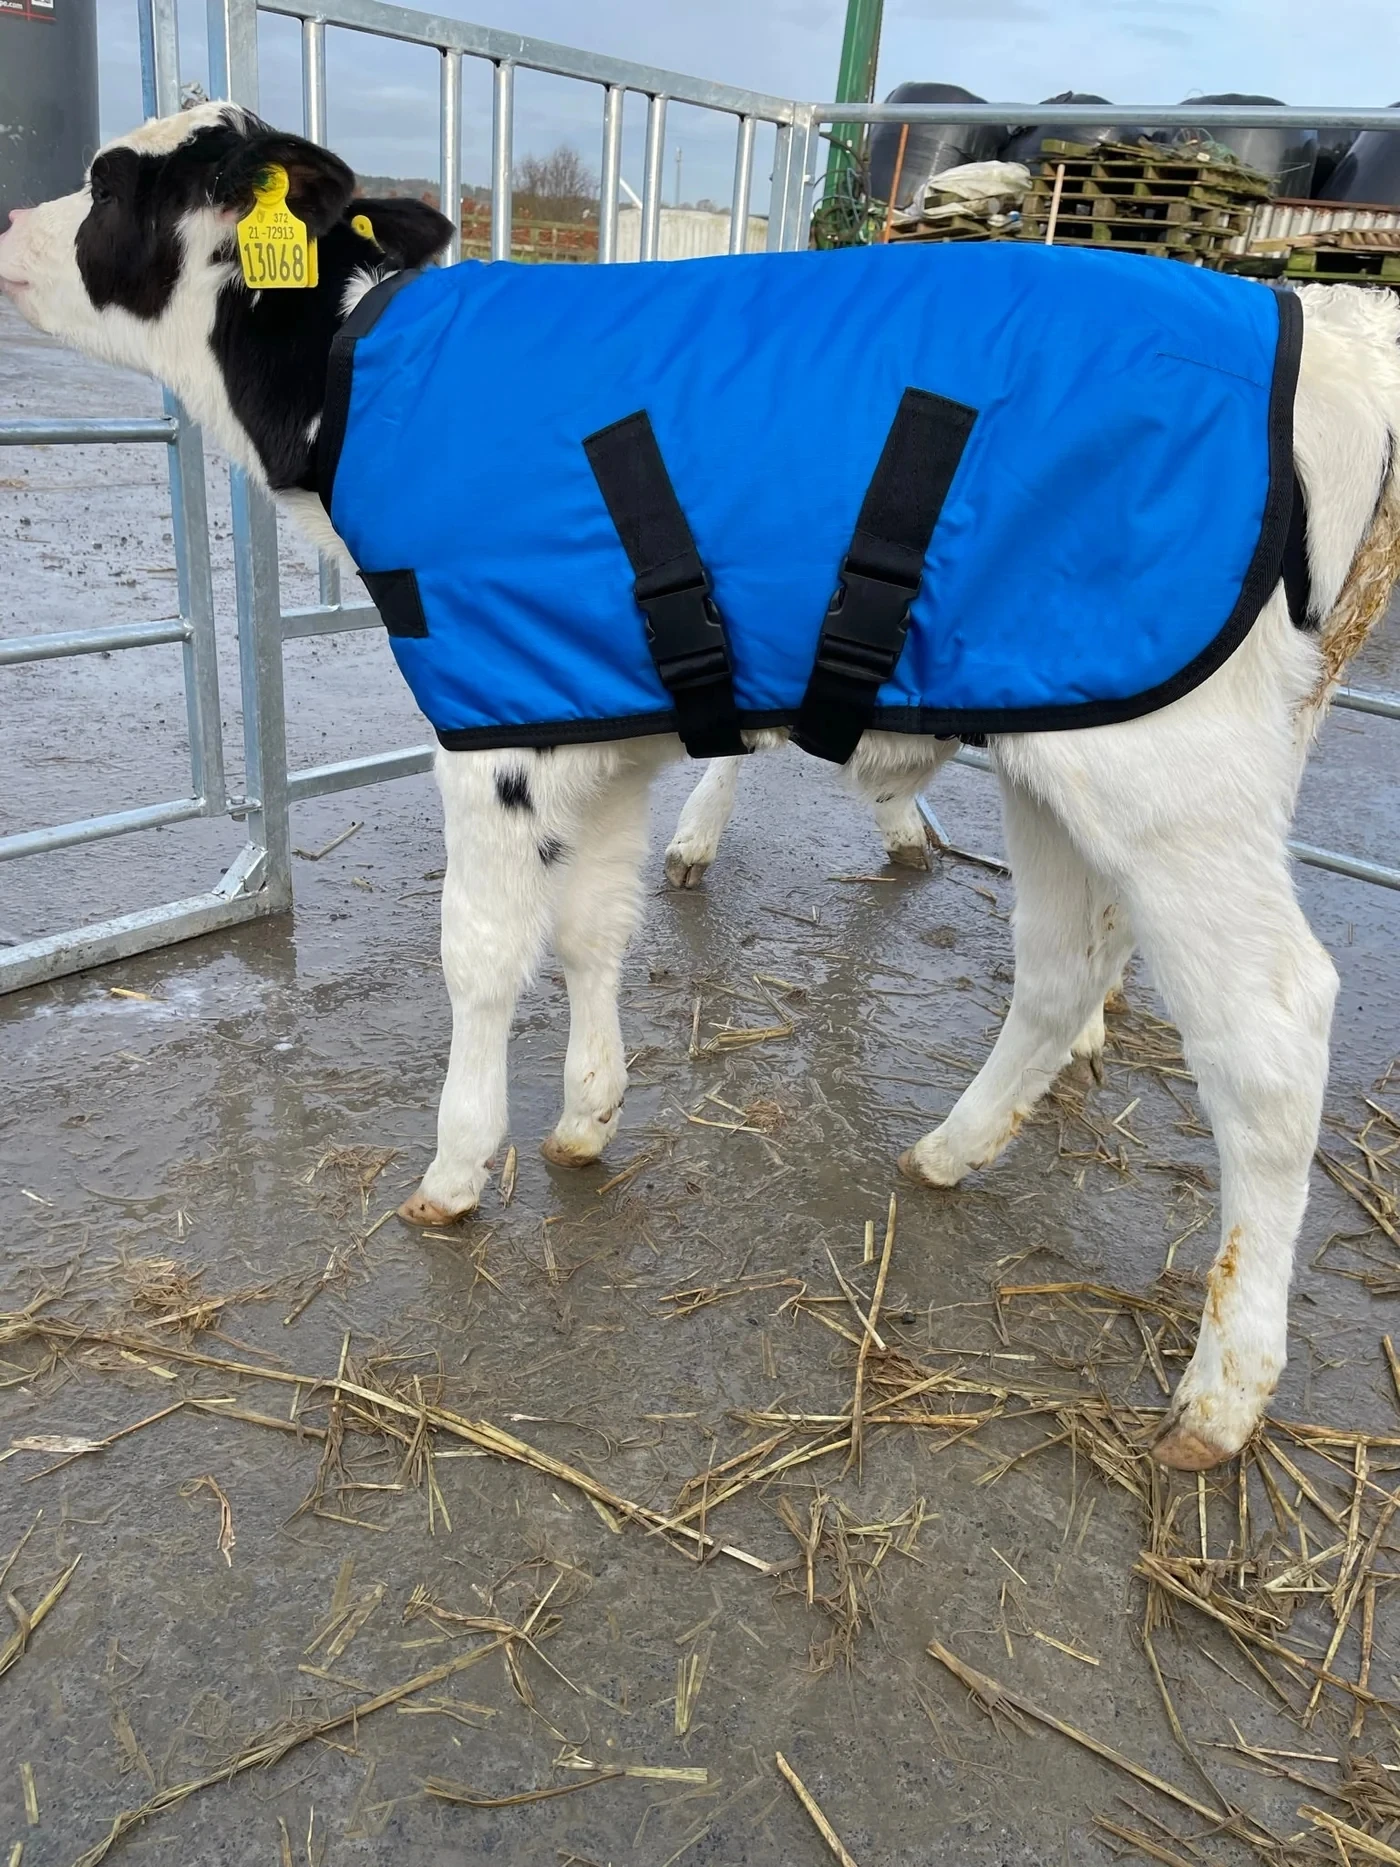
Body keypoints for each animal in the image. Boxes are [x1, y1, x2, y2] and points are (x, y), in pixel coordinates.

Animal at [4, 103, 1397, 1474]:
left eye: (112, 182)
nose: (12, 226)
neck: (351, 378)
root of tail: (1322, 340)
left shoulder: (489, 734)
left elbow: (482, 951)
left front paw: (456, 1167)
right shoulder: (590, 723)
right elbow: (591, 927)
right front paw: (585, 1118)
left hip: (1176, 774)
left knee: (1272, 1029)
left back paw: (1221, 1393)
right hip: (1061, 737)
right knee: (1065, 961)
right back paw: (948, 1152)